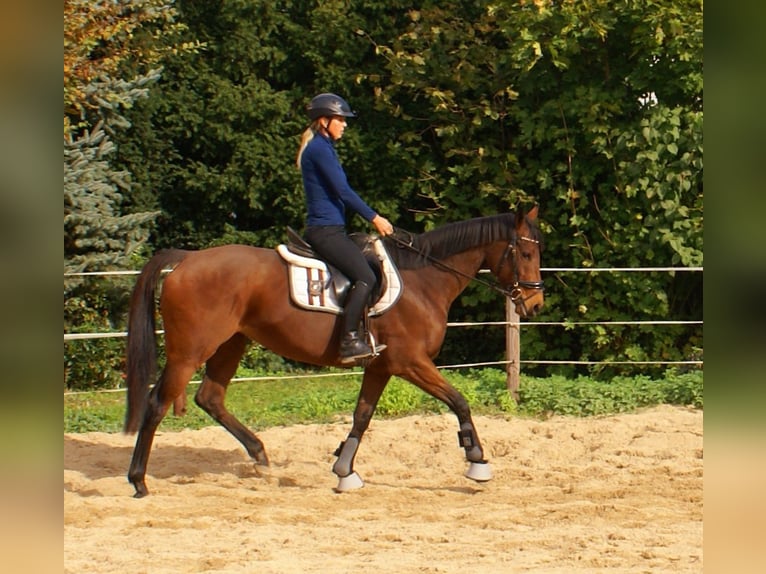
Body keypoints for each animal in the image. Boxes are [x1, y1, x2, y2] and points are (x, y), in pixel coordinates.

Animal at [124, 208, 544, 500]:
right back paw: (138, 480)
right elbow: (459, 401)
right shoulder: (410, 362)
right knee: (157, 403)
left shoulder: (381, 365)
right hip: (189, 351)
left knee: (210, 396)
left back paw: (259, 455)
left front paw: (344, 471)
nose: (536, 304)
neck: (422, 280)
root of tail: (187, 259)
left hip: (232, 343)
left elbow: (362, 416)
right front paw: (477, 460)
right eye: (525, 252)